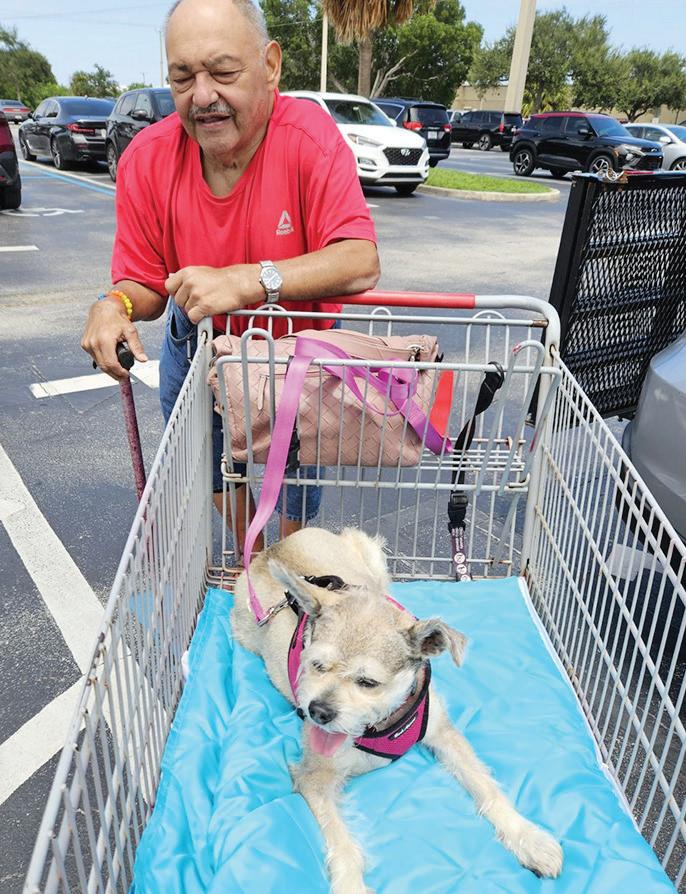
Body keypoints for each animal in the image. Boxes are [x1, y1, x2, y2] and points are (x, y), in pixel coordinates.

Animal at [232, 527, 563, 894]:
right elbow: (343, 844)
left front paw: (529, 838)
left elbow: (485, 784)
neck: (381, 723)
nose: (318, 712)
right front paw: (351, 885)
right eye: (315, 664)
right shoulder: (315, 777)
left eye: (368, 682)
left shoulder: (443, 733)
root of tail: (271, 549)